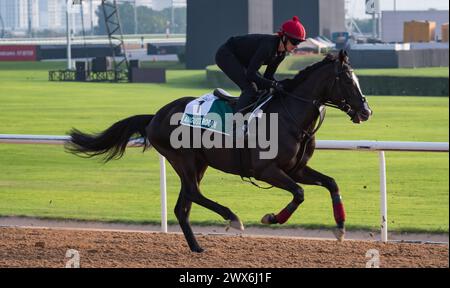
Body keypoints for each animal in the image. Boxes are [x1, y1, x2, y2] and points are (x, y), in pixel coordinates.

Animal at [66, 49, 372, 252]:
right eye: (348, 80)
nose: (366, 111)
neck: (290, 116)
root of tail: (155, 116)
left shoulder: (296, 168)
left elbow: (331, 183)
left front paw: (340, 228)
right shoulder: (266, 170)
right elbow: (299, 193)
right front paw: (272, 218)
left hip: (198, 163)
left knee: (183, 206)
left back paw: (197, 247)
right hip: (184, 159)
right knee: (193, 193)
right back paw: (232, 218)